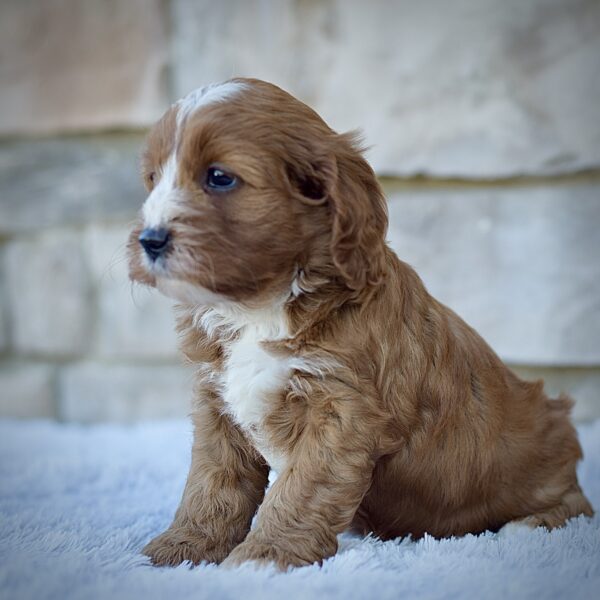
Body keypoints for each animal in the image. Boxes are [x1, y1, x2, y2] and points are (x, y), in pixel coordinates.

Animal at [129, 77, 592, 568]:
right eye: (153, 179)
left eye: (219, 178)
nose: (150, 240)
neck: (260, 307)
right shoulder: (217, 401)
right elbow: (212, 482)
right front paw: (185, 546)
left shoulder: (342, 408)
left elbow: (301, 487)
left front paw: (266, 556)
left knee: (577, 506)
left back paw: (528, 524)